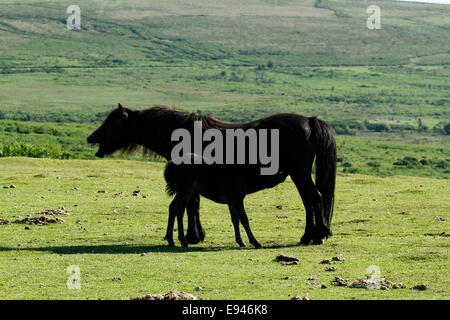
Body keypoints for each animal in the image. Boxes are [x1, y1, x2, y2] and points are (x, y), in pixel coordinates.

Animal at [87, 104, 338, 246]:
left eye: (113, 122)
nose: (91, 137)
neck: (183, 133)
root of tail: (309, 121)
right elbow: (192, 205)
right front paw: (193, 235)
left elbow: (191, 205)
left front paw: (192, 236)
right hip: (298, 174)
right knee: (308, 201)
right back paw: (308, 236)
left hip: (299, 173)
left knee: (314, 198)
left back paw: (319, 235)